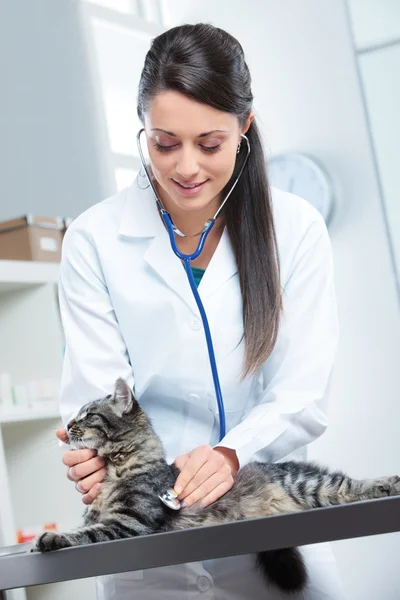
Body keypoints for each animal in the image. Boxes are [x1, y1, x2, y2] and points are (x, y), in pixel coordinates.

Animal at [33, 378, 400, 592]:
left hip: (310, 484)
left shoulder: (128, 522)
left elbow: (83, 535)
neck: (115, 469)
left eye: (88, 415)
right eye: (76, 415)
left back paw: (387, 483)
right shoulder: (104, 517)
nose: (68, 425)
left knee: (347, 483)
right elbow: (82, 526)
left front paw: (49, 539)